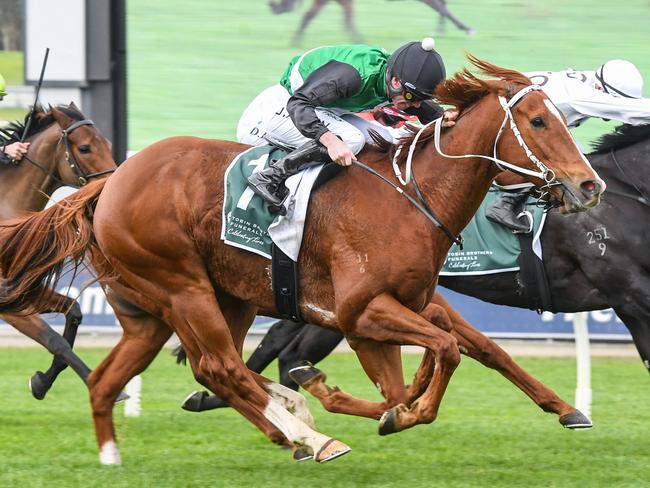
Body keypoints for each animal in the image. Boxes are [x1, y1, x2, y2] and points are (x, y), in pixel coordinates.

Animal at [0, 103, 115, 396]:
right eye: (85, 148)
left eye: (107, 144)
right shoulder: (7, 302)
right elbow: (55, 341)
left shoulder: (24, 291)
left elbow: (73, 313)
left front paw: (42, 382)